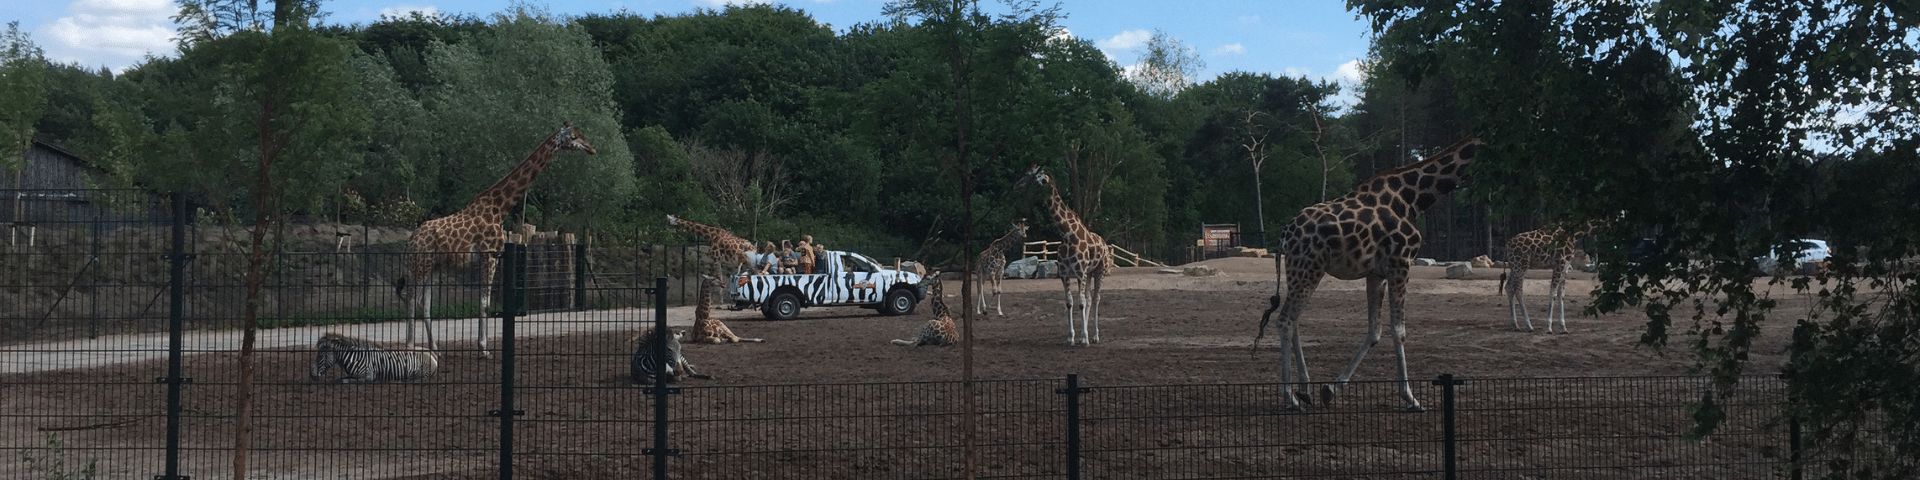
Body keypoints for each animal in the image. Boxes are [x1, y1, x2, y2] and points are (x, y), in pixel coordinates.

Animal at [309, 332, 439, 384]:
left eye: (320, 356)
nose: (312, 375)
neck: (354, 358)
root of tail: (432, 354)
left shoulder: (368, 376)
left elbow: (344, 380)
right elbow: (341, 378)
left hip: (420, 374)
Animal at [395, 122, 591, 357]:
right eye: (573, 137)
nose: (591, 148)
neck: (499, 210)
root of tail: (409, 242)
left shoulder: (489, 257)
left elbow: (483, 301)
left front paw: (482, 346)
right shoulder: (489, 255)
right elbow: (485, 302)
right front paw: (483, 349)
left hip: (433, 266)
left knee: (424, 302)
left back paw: (435, 349)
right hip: (421, 264)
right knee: (411, 297)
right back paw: (410, 346)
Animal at [1013, 165, 1121, 345]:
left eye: (1031, 175)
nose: (1017, 184)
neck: (1067, 235)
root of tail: (1105, 244)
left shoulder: (1079, 273)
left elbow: (1081, 302)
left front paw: (1084, 339)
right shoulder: (1064, 274)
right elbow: (1070, 303)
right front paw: (1072, 337)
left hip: (1099, 272)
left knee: (1096, 299)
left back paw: (1095, 336)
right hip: (1089, 273)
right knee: (1089, 298)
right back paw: (1087, 333)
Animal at [1259, 136, 1482, 412]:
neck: (1413, 198)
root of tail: (1283, 238)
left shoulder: (1377, 273)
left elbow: (1374, 330)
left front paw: (1330, 389)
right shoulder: (1401, 263)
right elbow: (1399, 330)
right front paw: (1411, 398)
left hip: (1302, 271)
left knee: (1294, 320)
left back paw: (1305, 391)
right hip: (1307, 269)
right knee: (1286, 321)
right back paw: (1291, 398)